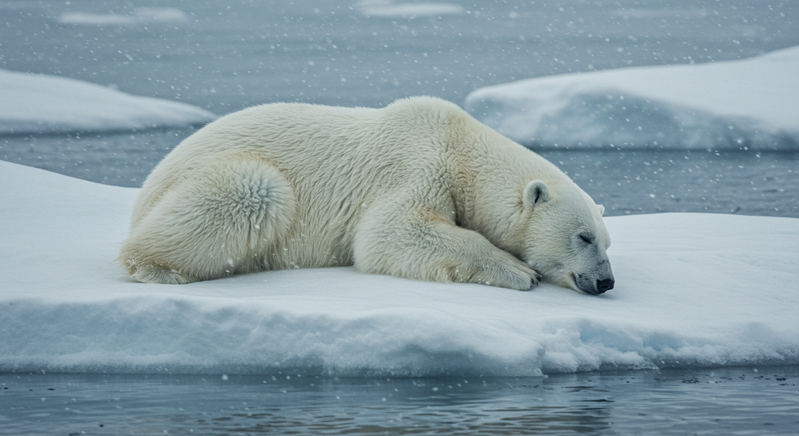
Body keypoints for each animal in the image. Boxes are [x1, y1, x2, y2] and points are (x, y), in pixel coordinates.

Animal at [118, 96, 614, 295]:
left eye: (607, 241)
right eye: (583, 237)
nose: (606, 281)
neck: (461, 149)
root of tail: (146, 190)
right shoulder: (416, 166)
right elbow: (389, 233)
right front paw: (517, 270)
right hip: (230, 178)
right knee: (254, 190)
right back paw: (158, 269)